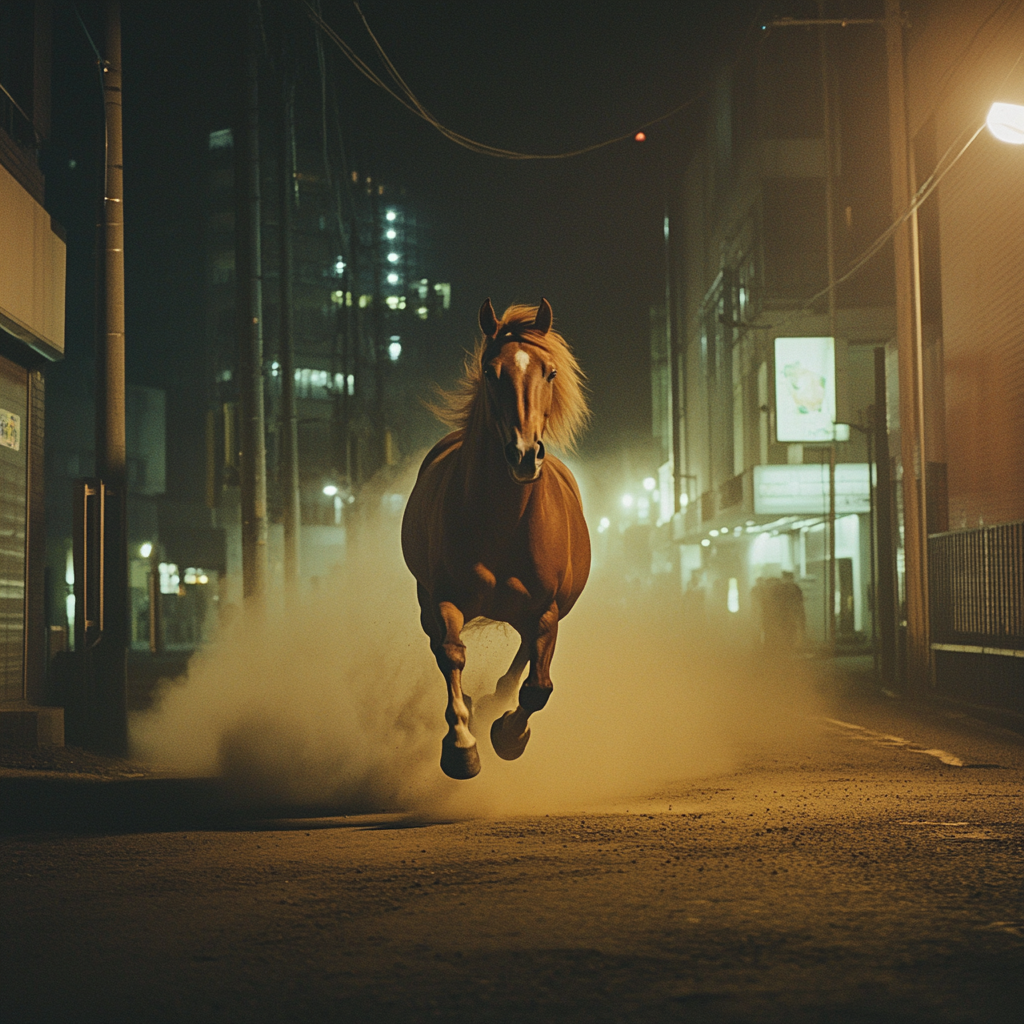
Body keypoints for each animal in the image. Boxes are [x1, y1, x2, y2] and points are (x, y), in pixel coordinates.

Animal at [399, 299, 593, 778]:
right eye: (491, 371)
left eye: (550, 372)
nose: (524, 455)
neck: (503, 524)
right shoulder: (445, 599)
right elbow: (451, 655)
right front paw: (461, 745)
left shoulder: (546, 611)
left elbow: (538, 687)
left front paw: (509, 734)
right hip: (425, 597)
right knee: (440, 646)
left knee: (523, 661)